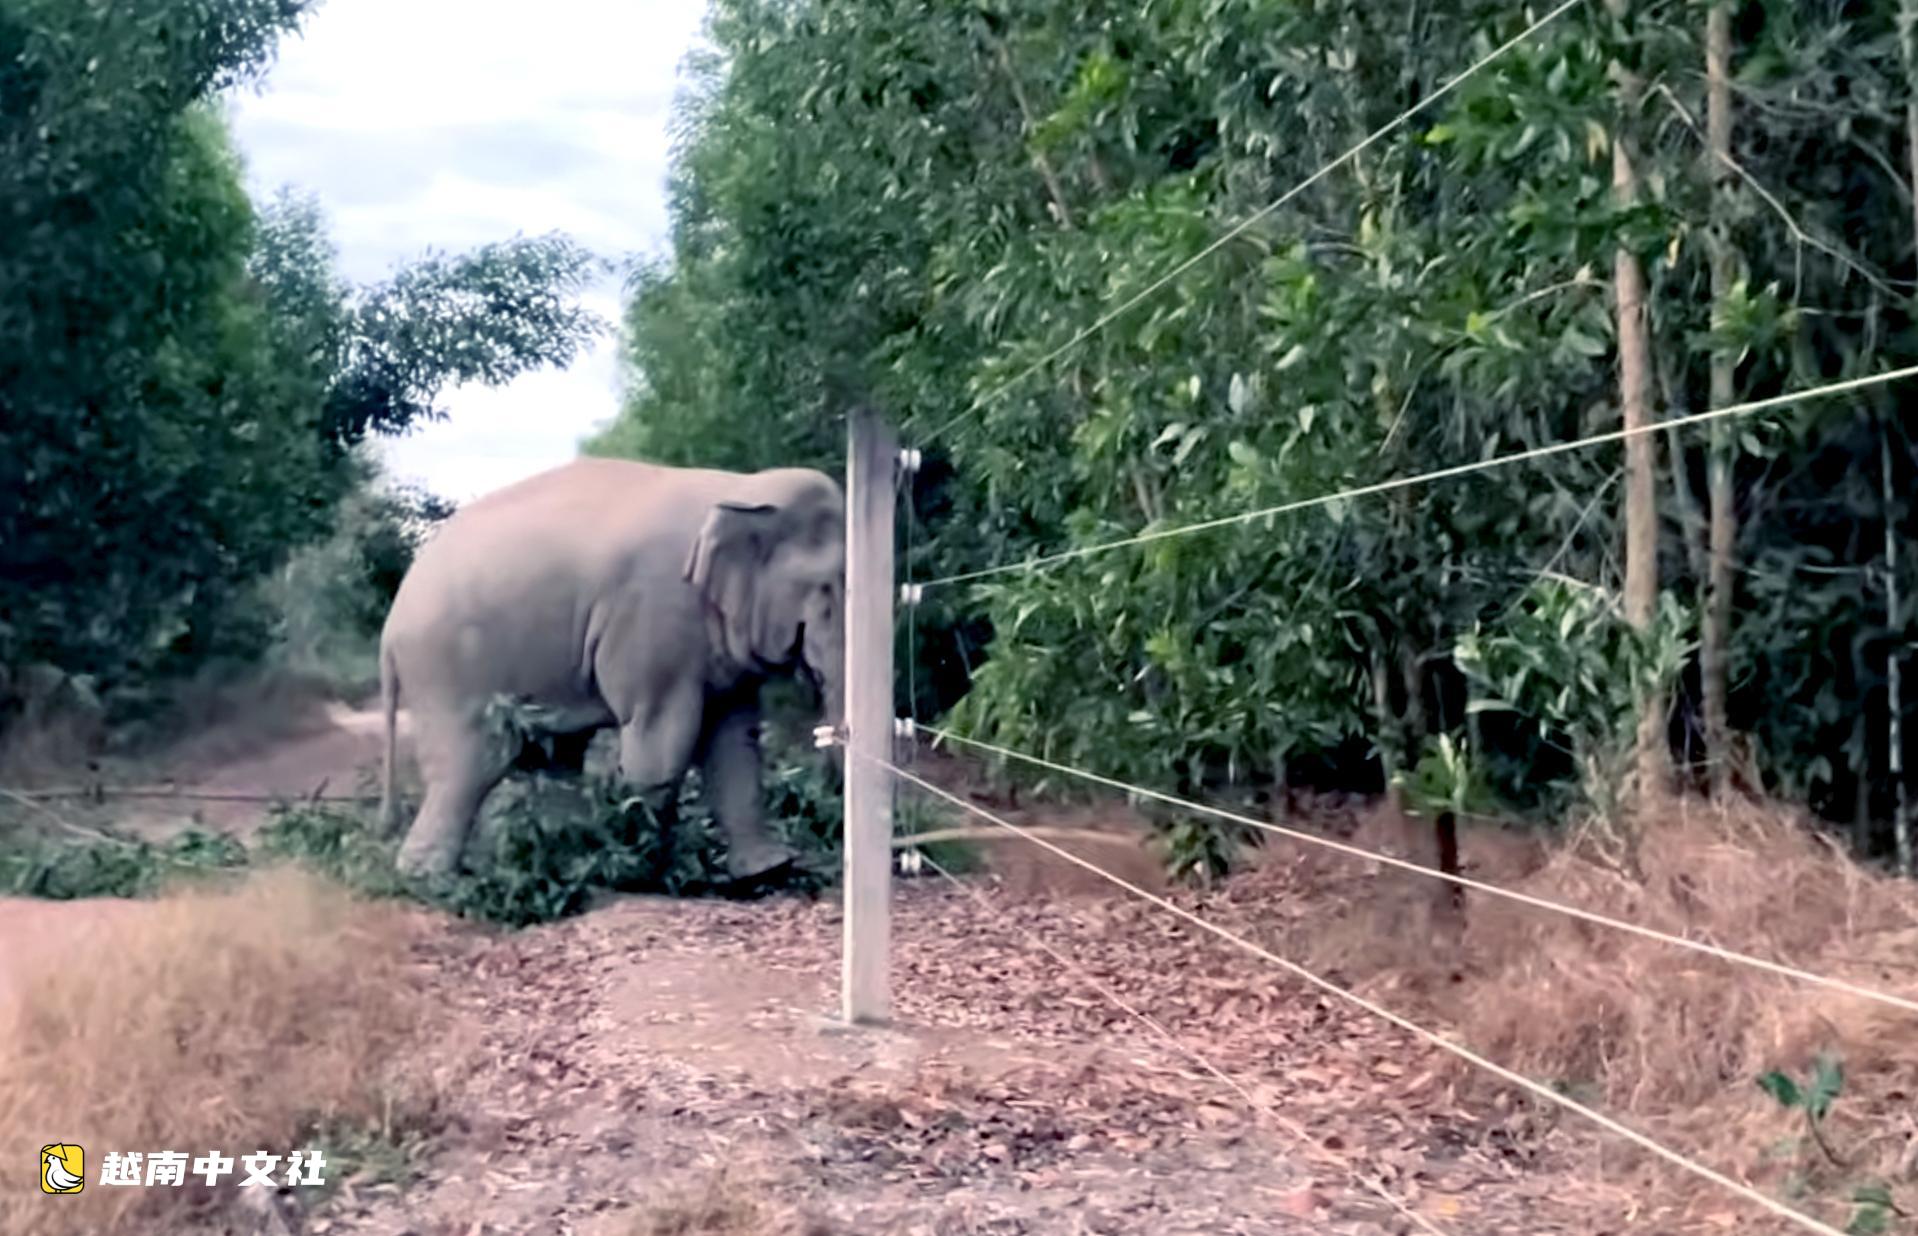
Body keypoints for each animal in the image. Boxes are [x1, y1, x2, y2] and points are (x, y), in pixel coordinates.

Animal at [376, 456, 844, 884]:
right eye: (827, 591)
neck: (739, 488)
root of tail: (391, 624)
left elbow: (735, 739)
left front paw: (768, 870)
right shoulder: (654, 616)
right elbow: (661, 740)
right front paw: (647, 871)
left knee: (556, 758)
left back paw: (568, 859)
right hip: (446, 669)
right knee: (473, 764)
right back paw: (430, 879)